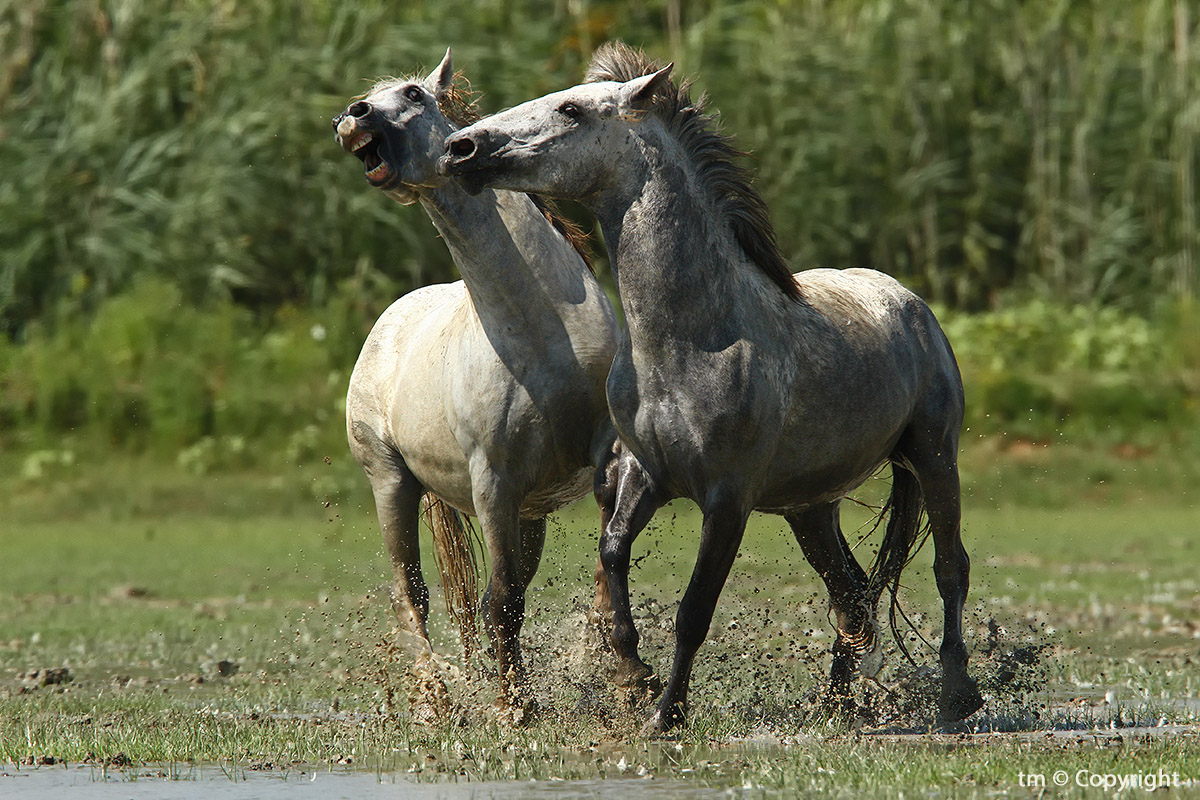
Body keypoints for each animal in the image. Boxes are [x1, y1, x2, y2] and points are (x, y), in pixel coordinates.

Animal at [333, 50, 621, 722]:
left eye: (414, 94)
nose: (352, 116)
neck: (543, 332)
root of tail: (392, 319)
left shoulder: (603, 458)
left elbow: (604, 556)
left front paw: (603, 659)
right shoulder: (494, 482)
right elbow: (503, 601)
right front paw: (516, 709)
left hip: (529, 512)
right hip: (392, 484)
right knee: (412, 596)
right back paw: (437, 701)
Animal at [439, 41, 983, 733]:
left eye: (569, 110)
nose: (460, 148)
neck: (690, 342)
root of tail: (910, 304)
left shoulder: (728, 499)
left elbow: (694, 610)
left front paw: (664, 713)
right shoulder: (646, 475)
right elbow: (612, 556)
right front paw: (634, 673)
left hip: (933, 456)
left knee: (948, 567)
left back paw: (957, 696)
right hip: (810, 504)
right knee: (852, 593)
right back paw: (835, 706)